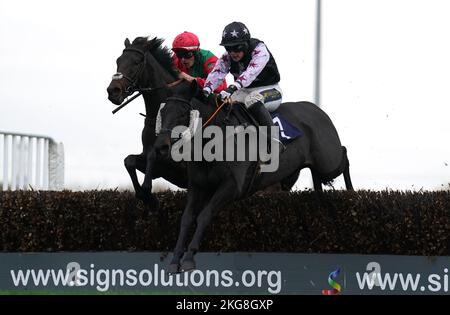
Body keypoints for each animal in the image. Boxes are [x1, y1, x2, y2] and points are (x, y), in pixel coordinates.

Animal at [106, 37, 191, 212]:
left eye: (137, 62)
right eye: (118, 60)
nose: (113, 91)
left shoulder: (182, 166)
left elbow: (155, 155)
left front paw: (148, 194)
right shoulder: (157, 167)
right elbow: (129, 160)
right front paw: (149, 199)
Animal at [155, 81, 352, 274]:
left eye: (183, 113)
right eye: (162, 112)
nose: (161, 147)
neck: (213, 141)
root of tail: (317, 110)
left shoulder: (232, 187)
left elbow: (204, 215)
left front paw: (189, 258)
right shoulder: (197, 185)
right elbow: (186, 218)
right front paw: (175, 261)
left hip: (329, 161)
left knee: (344, 156)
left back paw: (350, 193)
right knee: (320, 173)